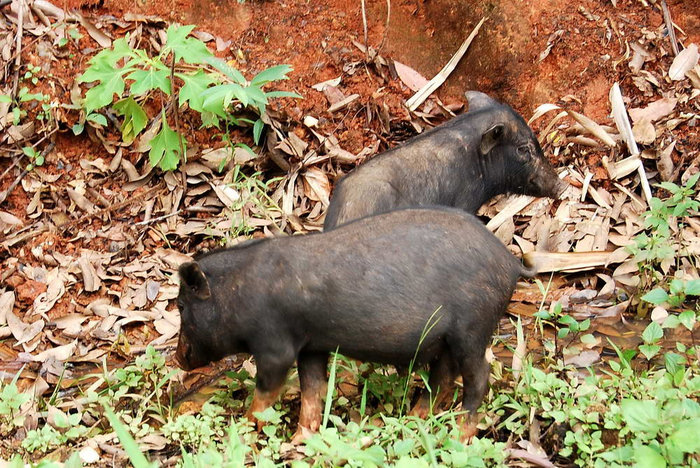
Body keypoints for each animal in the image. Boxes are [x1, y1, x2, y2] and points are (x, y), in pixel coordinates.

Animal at [174, 208, 536, 442]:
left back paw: (459, 437)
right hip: (448, 338)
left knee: (478, 379)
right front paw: (299, 441)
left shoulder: (275, 346)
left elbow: (265, 396)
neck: (239, 293)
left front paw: (245, 432)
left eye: (180, 305)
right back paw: (411, 418)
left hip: (473, 327)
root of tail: (510, 261)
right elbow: (313, 390)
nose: (177, 358)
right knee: (443, 378)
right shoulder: (311, 346)